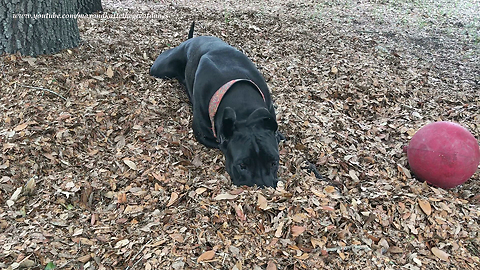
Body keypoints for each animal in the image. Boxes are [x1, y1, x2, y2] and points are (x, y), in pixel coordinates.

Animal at [148, 22, 280, 188]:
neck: (243, 107)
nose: (262, 186)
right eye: (242, 166)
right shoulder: (202, 135)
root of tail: (190, 40)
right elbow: (218, 143)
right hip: (160, 68)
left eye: (274, 162)